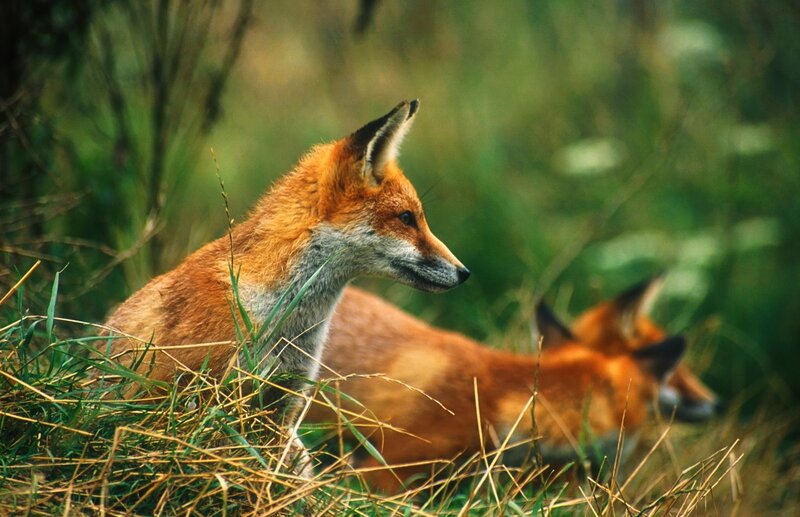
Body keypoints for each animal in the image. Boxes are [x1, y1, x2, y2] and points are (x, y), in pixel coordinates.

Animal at [98, 100, 469, 471]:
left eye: (416, 217)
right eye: (407, 218)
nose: (463, 272)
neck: (283, 323)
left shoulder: (285, 404)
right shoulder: (196, 397)